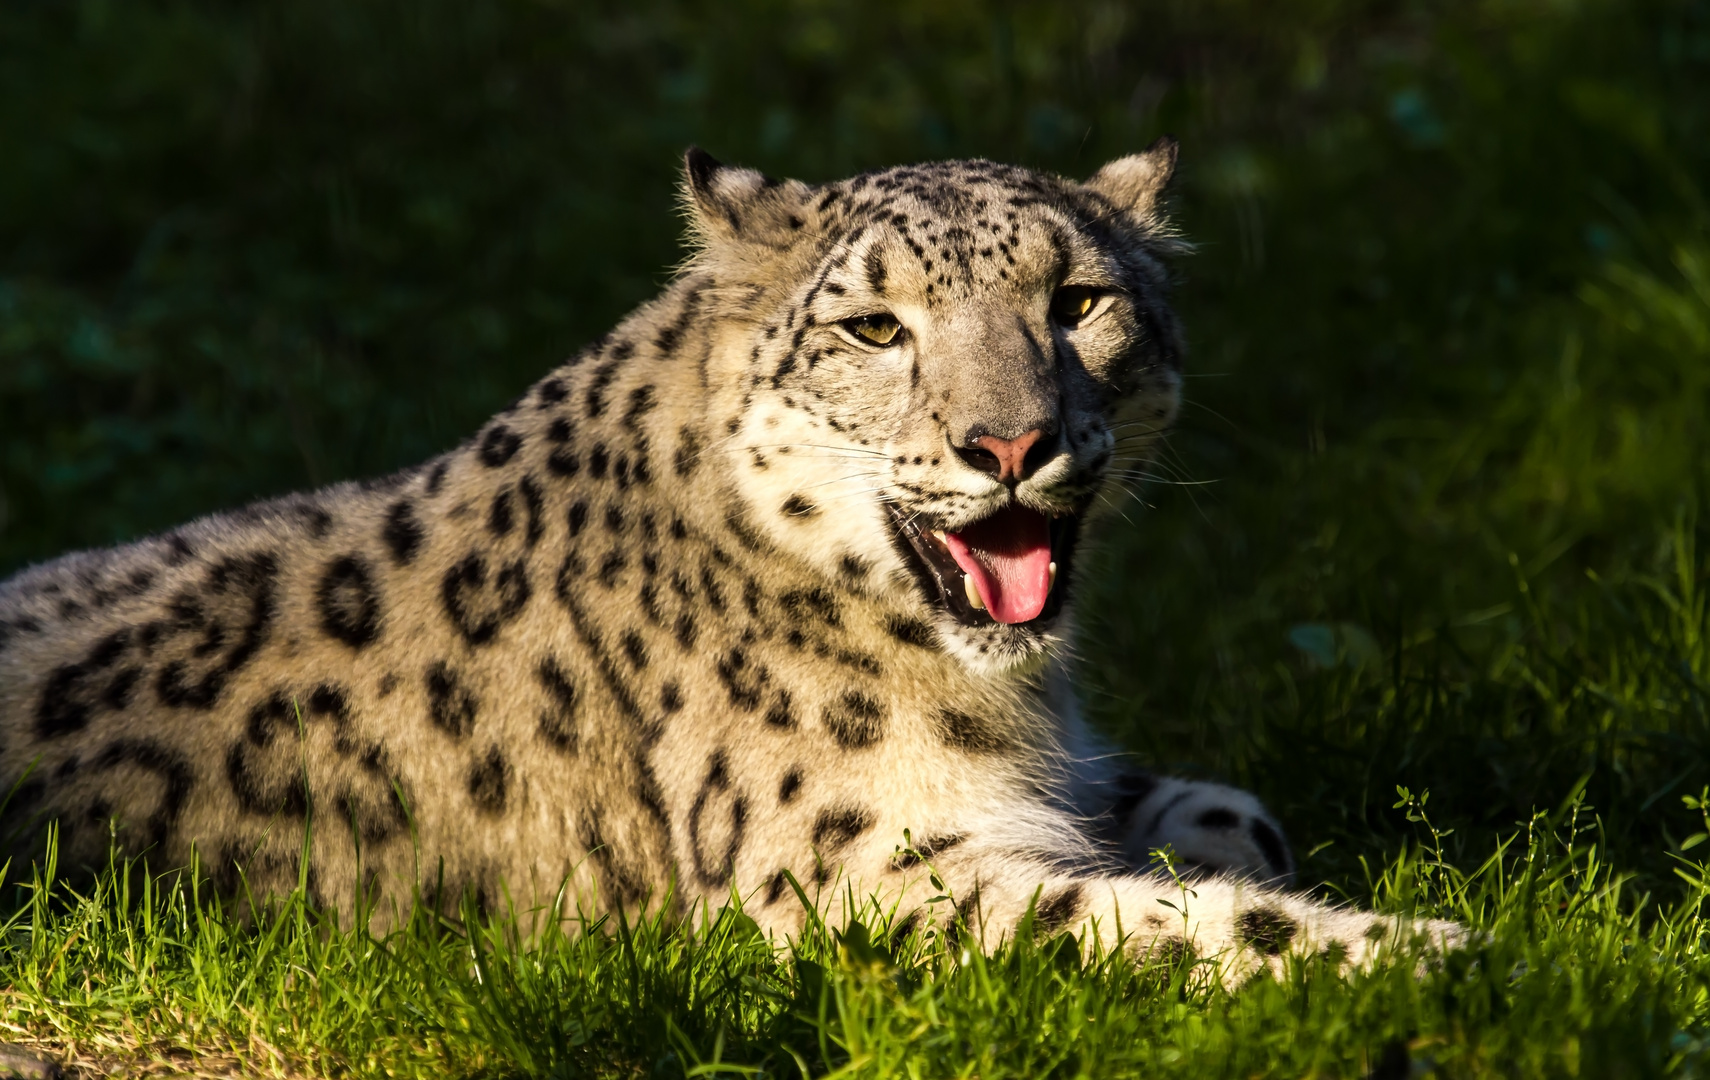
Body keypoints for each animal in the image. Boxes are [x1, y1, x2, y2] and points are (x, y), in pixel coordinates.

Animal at [0, 140, 1456, 977]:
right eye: (873, 328)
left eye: (1079, 301)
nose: (1010, 442)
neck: (1016, 699)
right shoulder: (847, 876)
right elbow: (1152, 922)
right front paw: (1437, 953)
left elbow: (1218, 822)